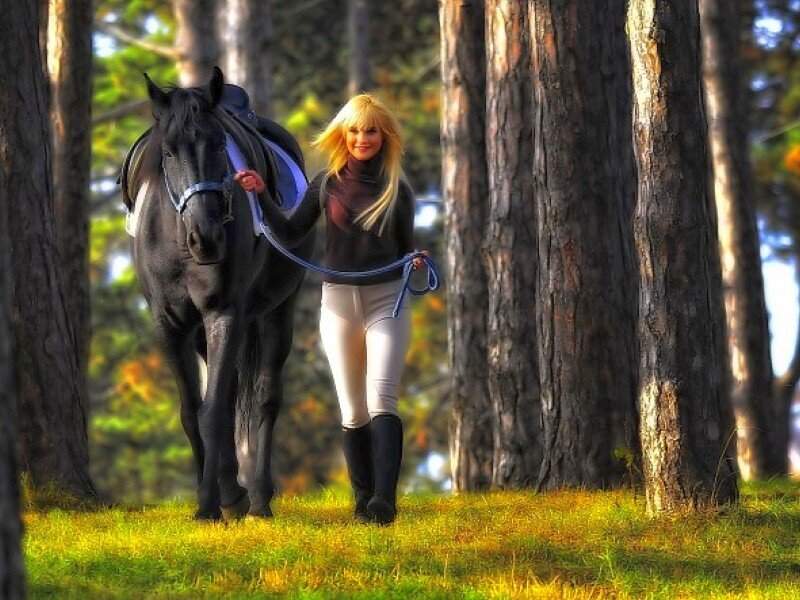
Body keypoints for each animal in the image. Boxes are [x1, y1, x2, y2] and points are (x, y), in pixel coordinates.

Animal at [123, 67, 315, 520]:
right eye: (168, 152)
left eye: (217, 144)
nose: (206, 237)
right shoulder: (170, 326)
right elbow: (194, 413)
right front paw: (218, 498)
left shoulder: (224, 314)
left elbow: (211, 414)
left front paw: (209, 507)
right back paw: (236, 492)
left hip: (278, 311)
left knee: (264, 396)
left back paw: (258, 497)